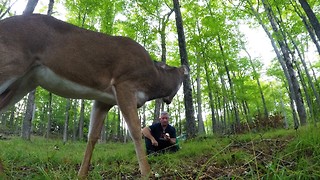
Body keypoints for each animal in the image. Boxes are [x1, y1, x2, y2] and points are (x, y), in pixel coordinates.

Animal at [0, 14, 188, 177]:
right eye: (182, 79)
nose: (169, 100)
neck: (152, 79)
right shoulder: (124, 83)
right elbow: (135, 130)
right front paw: (147, 173)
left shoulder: (104, 100)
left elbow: (93, 136)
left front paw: (81, 174)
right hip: (11, 65)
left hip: (24, 83)